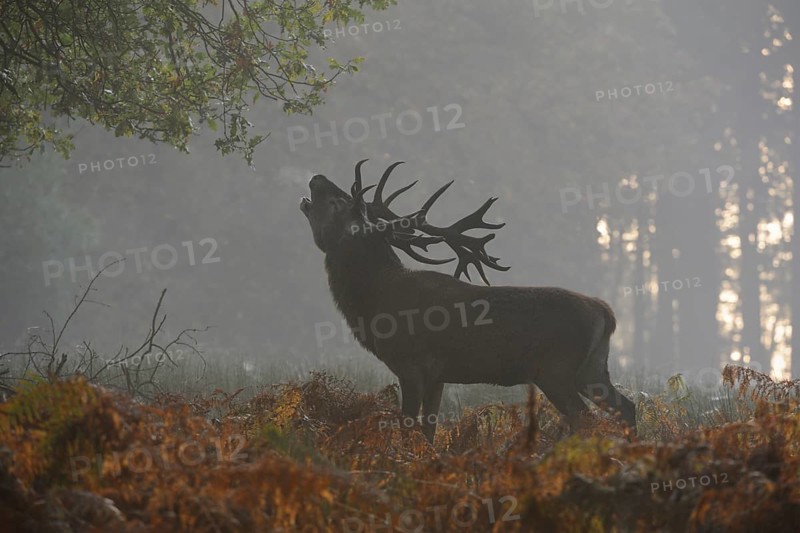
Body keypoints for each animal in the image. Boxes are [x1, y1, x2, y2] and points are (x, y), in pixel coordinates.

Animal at [300, 160, 636, 443]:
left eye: (339, 203)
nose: (317, 177)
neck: (374, 303)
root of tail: (606, 312)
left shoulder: (410, 363)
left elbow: (408, 425)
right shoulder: (437, 375)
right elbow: (429, 430)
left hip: (557, 369)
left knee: (586, 418)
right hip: (591, 368)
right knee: (627, 406)